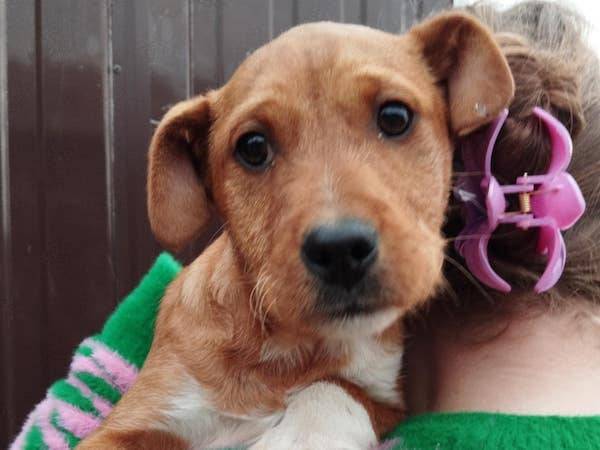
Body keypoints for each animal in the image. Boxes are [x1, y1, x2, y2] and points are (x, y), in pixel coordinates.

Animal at [79, 11, 513, 450]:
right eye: (253, 146)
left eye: (395, 117)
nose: (340, 250)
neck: (290, 349)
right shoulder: (132, 422)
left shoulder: (389, 404)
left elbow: (338, 389)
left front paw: (301, 435)